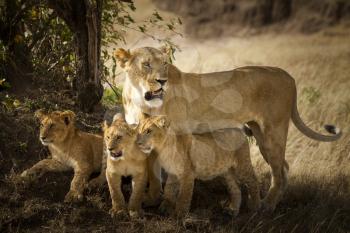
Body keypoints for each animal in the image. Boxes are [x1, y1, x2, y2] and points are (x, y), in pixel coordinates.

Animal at [115, 46, 342, 210]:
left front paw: (163, 204)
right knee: (283, 167)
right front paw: (149, 201)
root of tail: (287, 75)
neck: (140, 100)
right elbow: (151, 170)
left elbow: (166, 174)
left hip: (273, 133)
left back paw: (266, 206)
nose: (163, 81)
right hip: (260, 136)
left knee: (278, 171)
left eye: (164, 64)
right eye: (146, 65)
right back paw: (272, 203)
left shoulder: (173, 137)